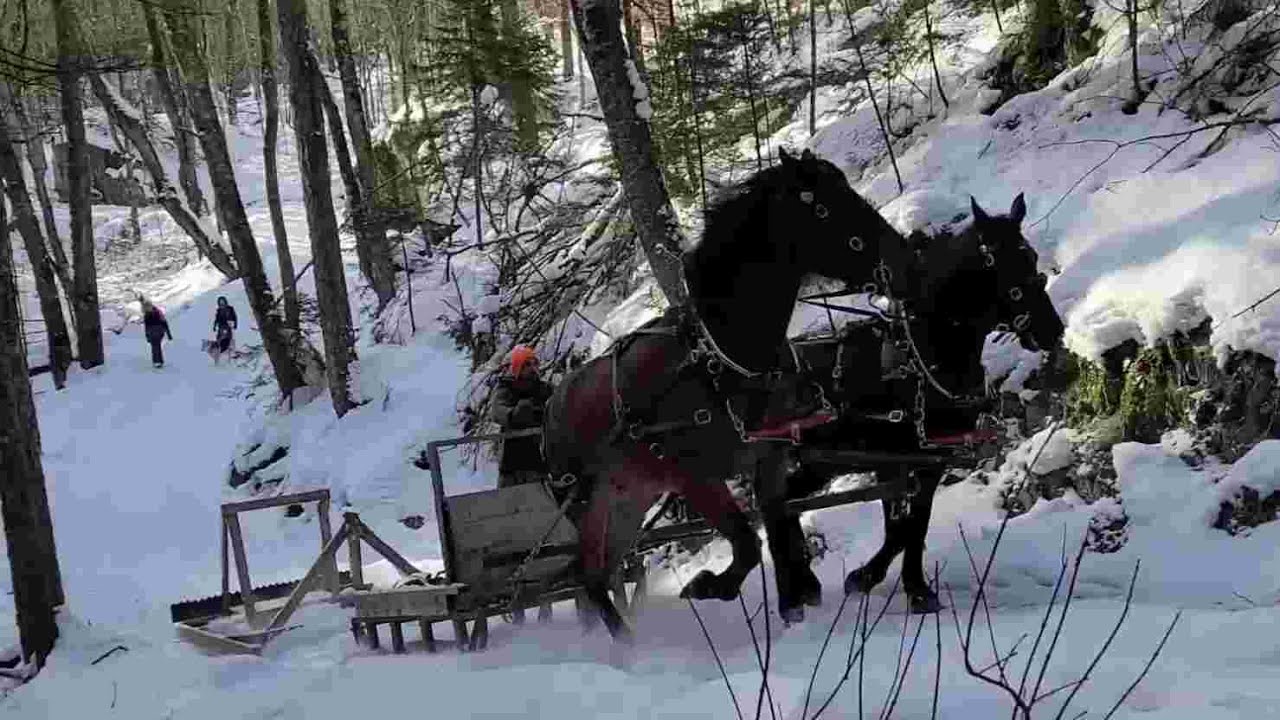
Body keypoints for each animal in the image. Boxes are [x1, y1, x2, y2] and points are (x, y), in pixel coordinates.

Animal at [539, 148, 913, 641]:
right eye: (824, 208)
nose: (904, 258)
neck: (721, 358)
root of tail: (553, 403)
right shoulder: (694, 478)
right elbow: (747, 543)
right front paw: (709, 585)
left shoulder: (768, 459)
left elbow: (779, 535)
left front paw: (794, 607)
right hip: (590, 503)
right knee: (590, 574)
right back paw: (628, 648)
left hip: (628, 498)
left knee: (599, 571)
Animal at [754, 193, 1066, 622]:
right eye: (998, 263)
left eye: (1031, 256)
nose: (1053, 330)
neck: (926, 359)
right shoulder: (899, 461)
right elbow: (905, 527)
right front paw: (900, 586)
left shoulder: (924, 463)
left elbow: (910, 527)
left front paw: (885, 581)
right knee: (773, 507)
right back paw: (790, 598)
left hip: (826, 460)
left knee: (788, 505)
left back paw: (806, 583)